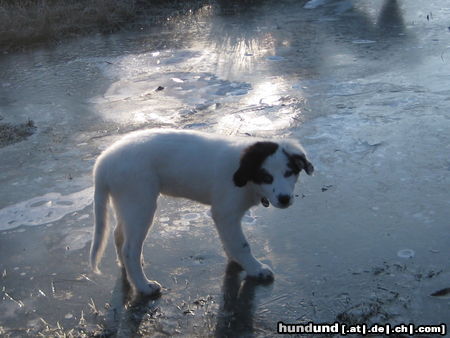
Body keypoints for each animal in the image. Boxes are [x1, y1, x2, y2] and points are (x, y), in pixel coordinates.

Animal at [89, 128, 312, 294]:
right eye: (266, 177)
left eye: (289, 173)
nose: (284, 199)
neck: (246, 176)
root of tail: (104, 161)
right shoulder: (225, 213)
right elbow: (242, 245)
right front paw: (255, 268)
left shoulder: (225, 217)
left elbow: (230, 242)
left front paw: (237, 260)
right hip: (141, 204)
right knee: (130, 248)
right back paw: (144, 286)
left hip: (126, 203)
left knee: (118, 235)